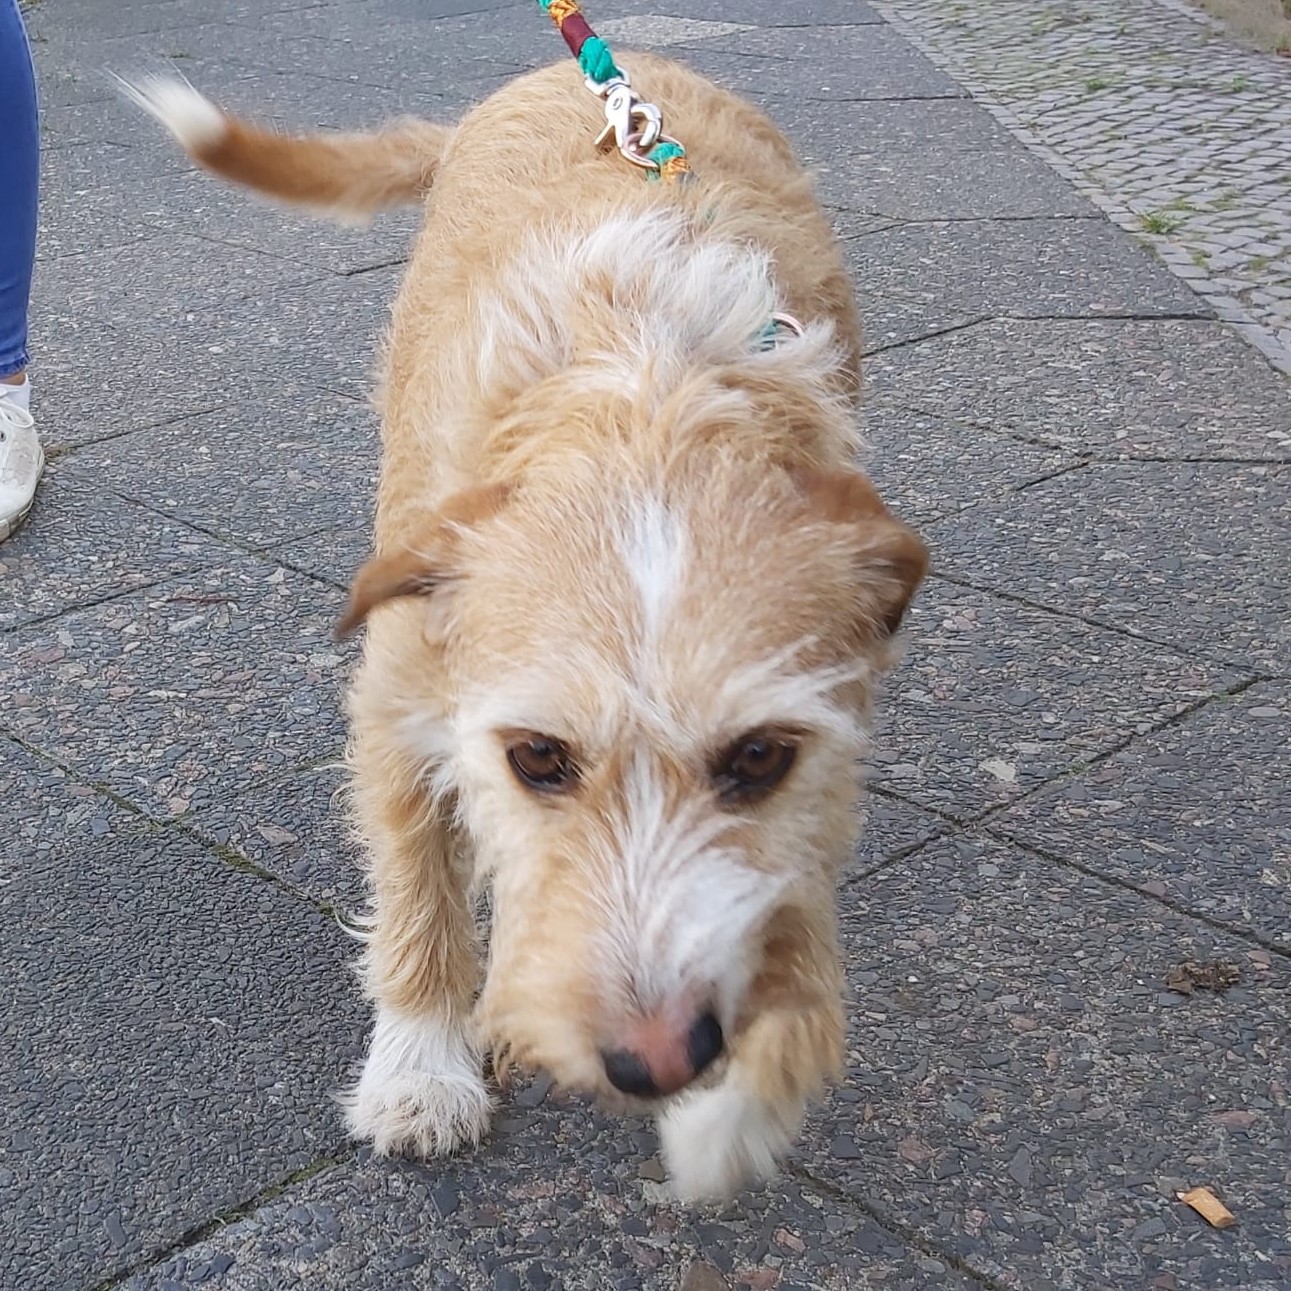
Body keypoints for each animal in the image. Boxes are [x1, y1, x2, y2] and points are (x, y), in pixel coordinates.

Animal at [124, 52, 928, 1202]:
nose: (658, 1060)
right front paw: (421, 1069)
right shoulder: (397, 706)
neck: (644, 401)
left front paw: (743, 1099)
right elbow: (418, 897)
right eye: (537, 757)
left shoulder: (824, 747)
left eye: (759, 757)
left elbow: (792, 895)